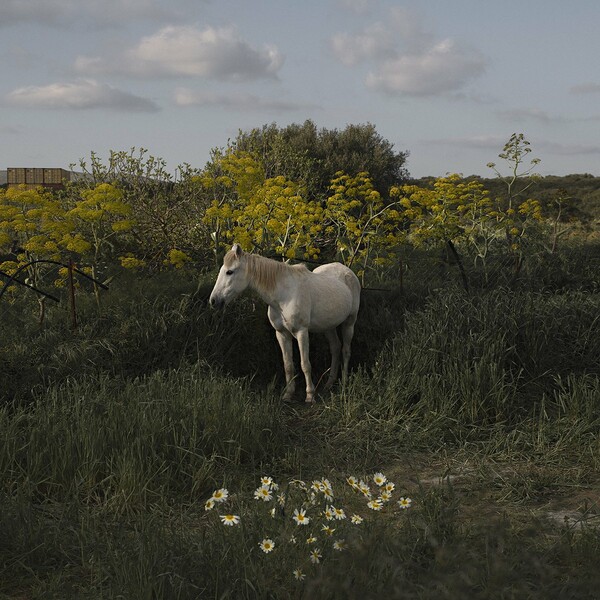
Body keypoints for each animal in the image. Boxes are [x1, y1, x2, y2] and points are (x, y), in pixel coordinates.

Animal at [211, 244, 360, 404]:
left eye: (229, 272)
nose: (214, 301)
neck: (284, 295)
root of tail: (347, 272)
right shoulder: (282, 334)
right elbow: (288, 365)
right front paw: (288, 394)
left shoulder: (301, 332)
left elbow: (305, 364)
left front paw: (310, 395)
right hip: (328, 326)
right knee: (335, 348)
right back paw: (329, 383)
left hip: (350, 322)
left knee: (345, 350)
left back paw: (344, 382)